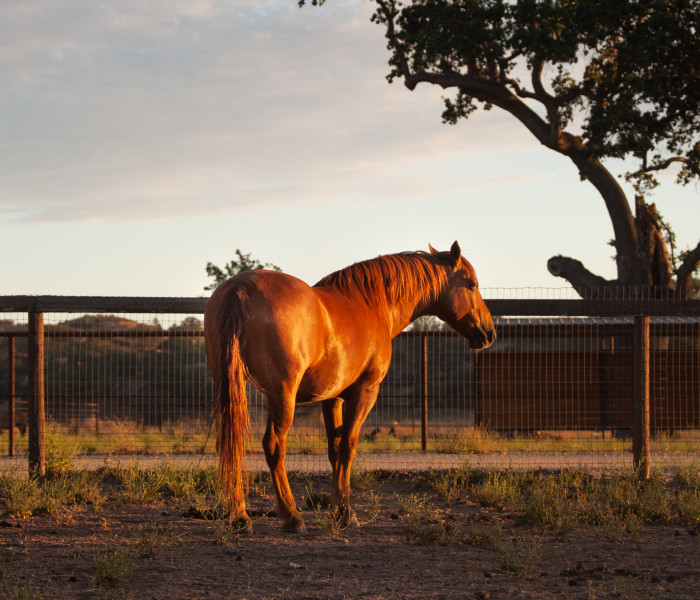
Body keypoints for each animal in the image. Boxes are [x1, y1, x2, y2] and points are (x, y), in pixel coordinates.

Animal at [205, 241, 494, 532]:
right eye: (472, 284)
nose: (489, 333)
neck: (369, 304)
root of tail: (240, 288)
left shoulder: (332, 398)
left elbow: (334, 450)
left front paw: (337, 509)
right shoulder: (365, 392)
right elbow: (348, 447)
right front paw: (345, 514)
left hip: (233, 390)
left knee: (233, 444)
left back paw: (240, 516)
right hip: (281, 394)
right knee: (274, 446)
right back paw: (291, 516)